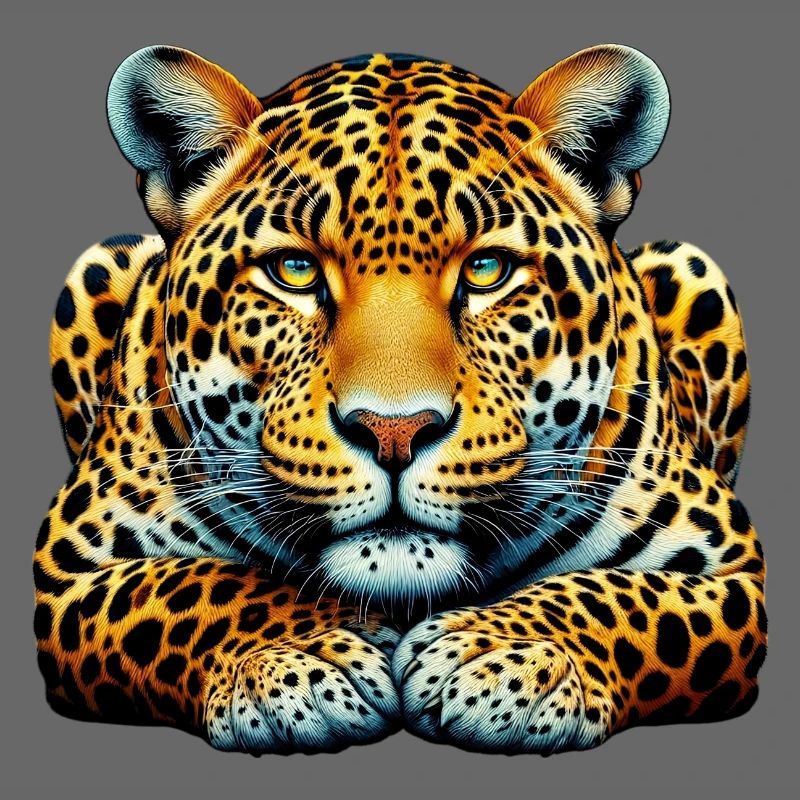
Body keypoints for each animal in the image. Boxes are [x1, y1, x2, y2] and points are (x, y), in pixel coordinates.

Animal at [35, 43, 766, 755]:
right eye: (294, 270)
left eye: (487, 269)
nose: (394, 432)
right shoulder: (68, 570)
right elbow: (198, 585)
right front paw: (307, 658)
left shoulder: (734, 571)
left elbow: (616, 597)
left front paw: (504, 656)